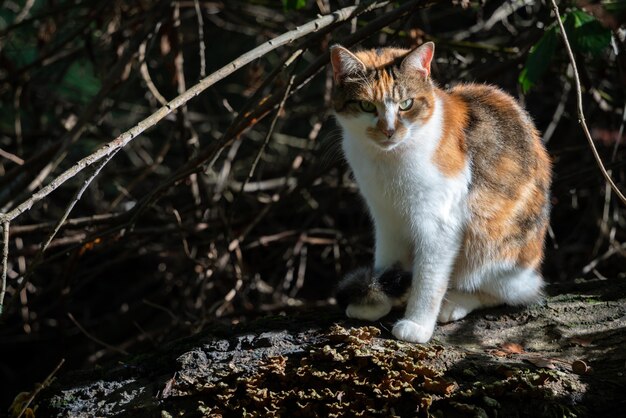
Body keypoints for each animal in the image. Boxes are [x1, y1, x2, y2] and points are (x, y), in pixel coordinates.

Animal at [330, 42, 548, 342]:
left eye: (406, 104)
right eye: (366, 105)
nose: (388, 131)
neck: (387, 160)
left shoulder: (439, 224)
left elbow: (429, 279)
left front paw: (417, 324)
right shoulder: (386, 218)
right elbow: (387, 260)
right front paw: (378, 299)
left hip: (492, 245)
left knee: (511, 292)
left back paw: (455, 301)